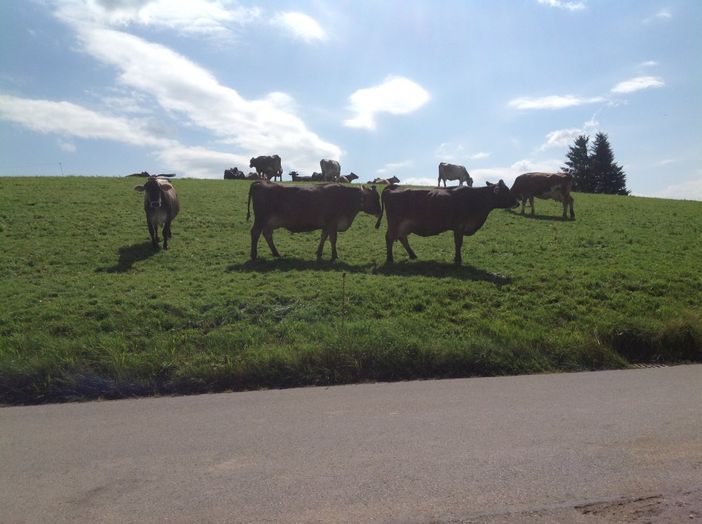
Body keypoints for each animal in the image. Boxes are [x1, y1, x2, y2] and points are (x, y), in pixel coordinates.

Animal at [246, 181, 382, 260]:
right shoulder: (332, 223)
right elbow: (333, 239)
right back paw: (254, 255)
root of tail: (260, 182)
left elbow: (323, 237)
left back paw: (276, 253)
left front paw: (319, 252)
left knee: (267, 234)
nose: (380, 212)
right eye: (375, 198)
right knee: (255, 233)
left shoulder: (327, 225)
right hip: (260, 219)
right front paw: (334, 256)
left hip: (268, 222)